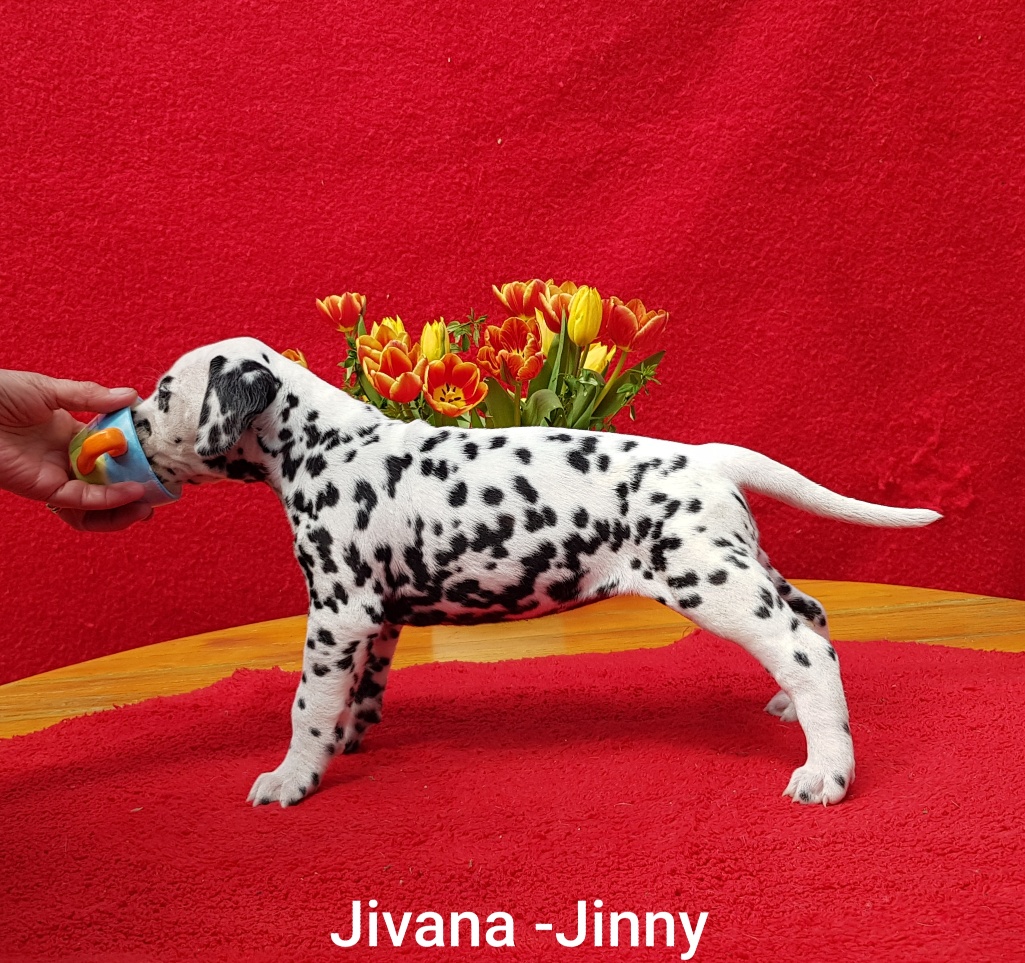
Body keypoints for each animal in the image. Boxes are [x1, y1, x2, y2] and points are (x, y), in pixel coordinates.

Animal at [131, 337, 940, 808]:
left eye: (165, 392)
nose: (131, 422)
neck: (327, 442)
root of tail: (709, 457)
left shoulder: (338, 611)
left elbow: (306, 702)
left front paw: (294, 775)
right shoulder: (377, 618)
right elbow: (361, 689)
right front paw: (348, 735)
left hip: (710, 581)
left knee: (807, 651)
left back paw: (826, 769)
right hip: (739, 564)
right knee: (810, 616)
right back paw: (789, 711)